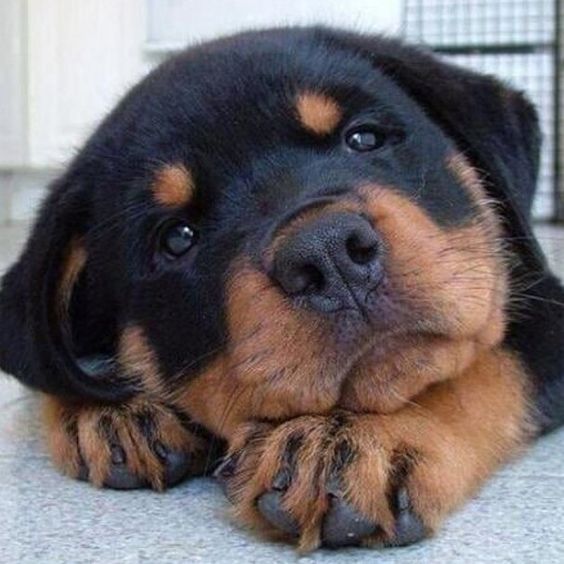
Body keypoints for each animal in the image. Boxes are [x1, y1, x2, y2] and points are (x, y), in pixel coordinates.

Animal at [1, 27, 564, 552]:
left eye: (364, 138)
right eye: (178, 238)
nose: (328, 251)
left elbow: (484, 369)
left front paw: (364, 435)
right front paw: (110, 407)